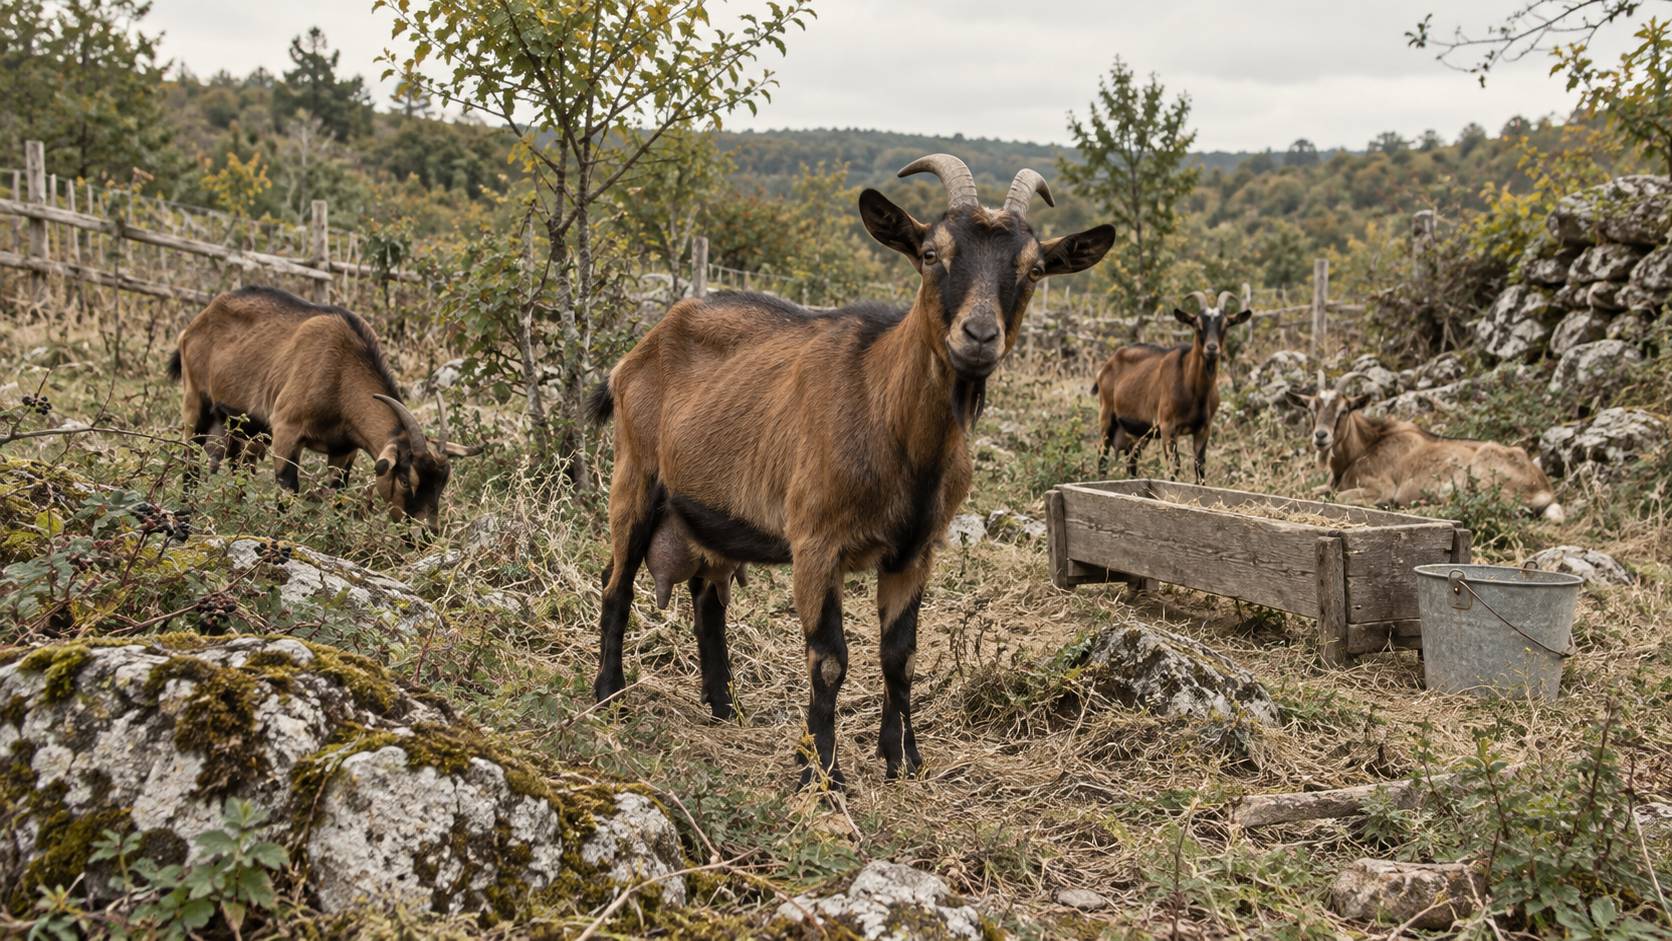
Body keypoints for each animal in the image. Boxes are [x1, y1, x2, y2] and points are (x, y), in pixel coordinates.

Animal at [170, 286, 480, 529]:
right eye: (406, 480)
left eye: (442, 483)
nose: (425, 535)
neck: (342, 370)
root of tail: (195, 323)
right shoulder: (286, 429)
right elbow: (288, 490)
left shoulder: (344, 449)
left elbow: (338, 496)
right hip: (195, 400)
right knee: (190, 458)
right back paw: (186, 512)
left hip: (242, 426)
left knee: (239, 466)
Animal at [589, 155, 1114, 788]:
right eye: (931, 253)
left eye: (1034, 269)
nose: (980, 336)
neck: (891, 422)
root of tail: (638, 352)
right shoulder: (816, 543)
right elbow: (829, 659)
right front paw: (822, 770)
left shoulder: (916, 552)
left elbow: (900, 656)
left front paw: (903, 759)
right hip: (635, 478)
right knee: (616, 583)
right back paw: (608, 695)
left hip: (712, 517)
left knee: (707, 599)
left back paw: (723, 706)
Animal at [1092, 290, 1251, 482]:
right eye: (1197, 325)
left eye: (1226, 325)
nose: (1212, 348)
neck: (1194, 390)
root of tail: (1108, 364)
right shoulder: (1168, 427)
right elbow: (1174, 467)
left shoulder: (1203, 429)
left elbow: (1200, 467)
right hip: (1106, 417)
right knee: (1102, 457)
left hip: (1139, 432)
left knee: (1131, 460)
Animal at [1299, 371, 1565, 521]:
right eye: (1311, 409)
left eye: (1344, 410)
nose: (1321, 436)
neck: (1366, 446)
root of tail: (1544, 487)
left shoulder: (1381, 487)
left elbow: (1338, 497)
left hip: (1484, 472)